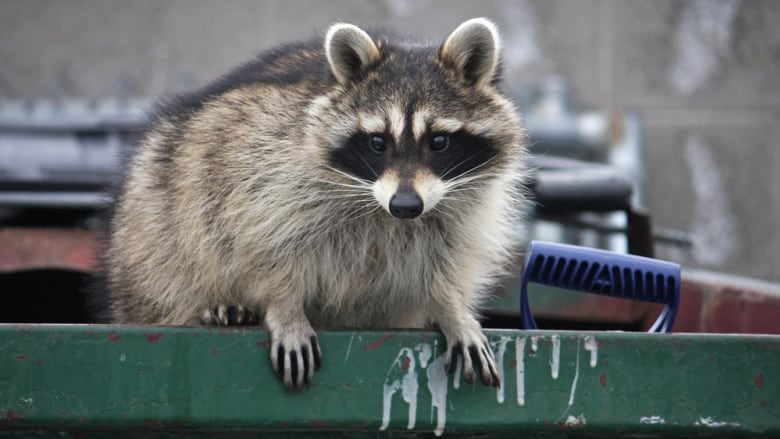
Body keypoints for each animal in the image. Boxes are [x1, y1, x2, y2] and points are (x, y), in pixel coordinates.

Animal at [102, 17, 532, 390]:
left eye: (439, 141)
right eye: (378, 142)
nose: (406, 205)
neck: (382, 210)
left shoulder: (463, 205)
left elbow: (449, 258)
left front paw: (453, 308)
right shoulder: (264, 164)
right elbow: (264, 241)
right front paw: (284, 305)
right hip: (156, 215)